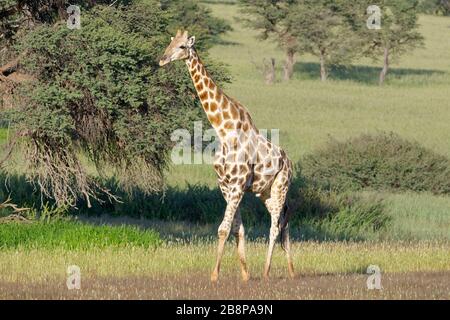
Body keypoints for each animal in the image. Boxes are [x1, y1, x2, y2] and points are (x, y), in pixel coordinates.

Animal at [159, 28, 296, 282]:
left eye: (182, 46)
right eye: (170, 43)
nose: (162, 59)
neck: (224, 130)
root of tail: (290, 163)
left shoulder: (237, 185)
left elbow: (223, 228)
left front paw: (214, 275)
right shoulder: (226, 185)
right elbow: (236, 228)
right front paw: (244, 274)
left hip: (281, 185)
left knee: (274, 227)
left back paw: (266, 272)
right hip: (265, 192)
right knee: (284, 222)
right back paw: (291, 271)